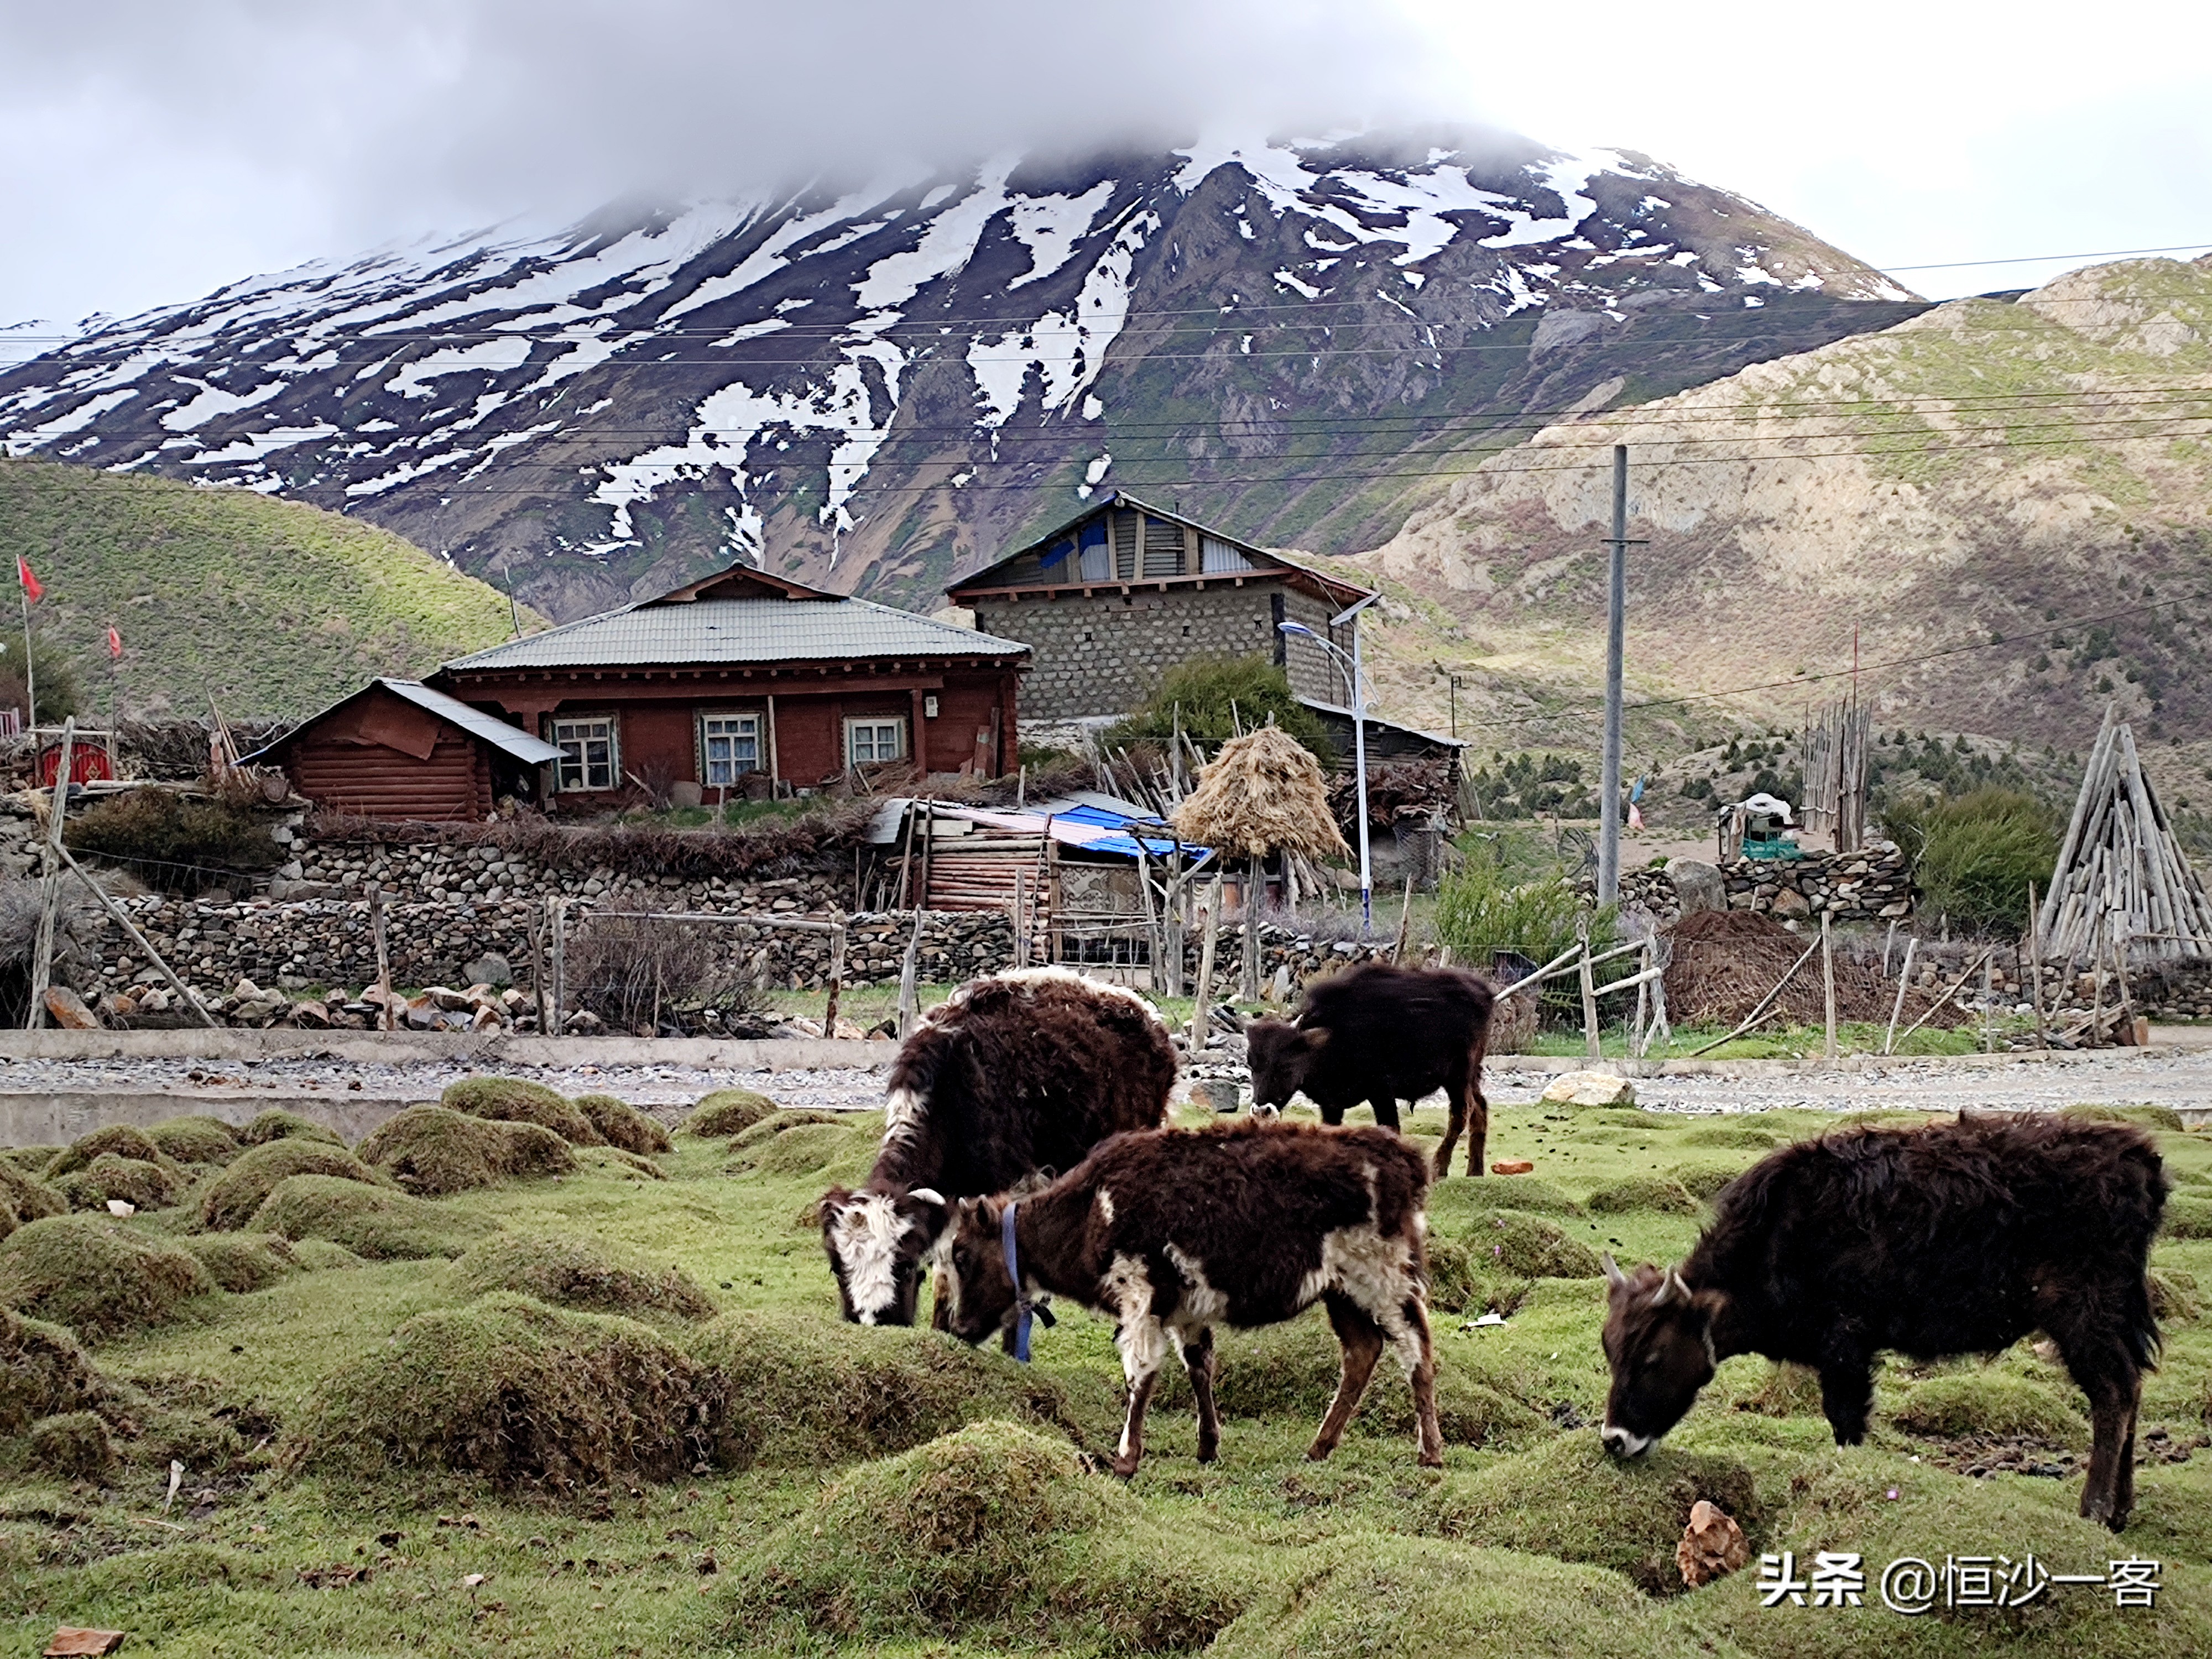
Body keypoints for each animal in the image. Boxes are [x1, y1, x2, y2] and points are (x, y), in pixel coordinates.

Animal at [938, 1119, 1442, 1478]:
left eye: (962, 1255)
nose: (959, 1328)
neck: (1091, 1210)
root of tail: (1402, 1158)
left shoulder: (1141, 1300)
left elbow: (1139, 1375)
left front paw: (1125, 1459)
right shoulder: (1185, 1312)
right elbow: (1199, 1368)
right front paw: (1207, 1446)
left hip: (1384, 1280)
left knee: (1415, 1350)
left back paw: (1430, 1452)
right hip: (1342, 1292)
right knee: (1362, 1352)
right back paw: (1319, 1447)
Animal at [1601, 1119, 2168, 1531]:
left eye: (1651, 1356)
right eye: (1610, 1351)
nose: (1614, 1441)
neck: (1774, 1242)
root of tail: (2138, 1161)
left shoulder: (1845, 1347)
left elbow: (1845, 1422)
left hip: (2082, 1313)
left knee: (2113, 1394)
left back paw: (2095, 1510)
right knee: (2133, 1387)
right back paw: (2122, 1509)